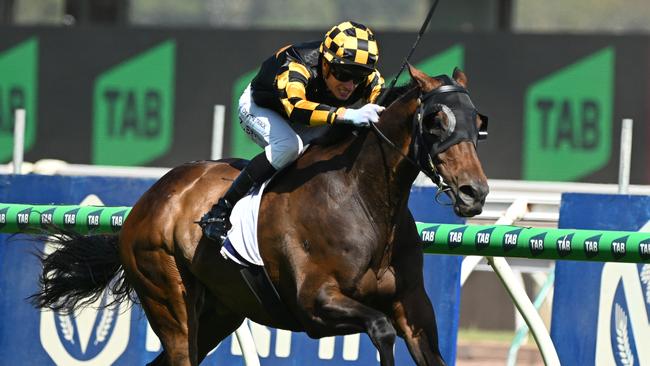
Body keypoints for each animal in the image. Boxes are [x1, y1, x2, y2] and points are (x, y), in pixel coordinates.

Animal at [30, 64, 486, 364]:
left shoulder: (414, 308)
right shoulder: (315, 303)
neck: (362, 201)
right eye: (436, 120)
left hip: (220, 311)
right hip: (168, 300)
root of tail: (146, 202)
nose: (475, 191)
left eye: (478, 122)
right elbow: (380, 330)